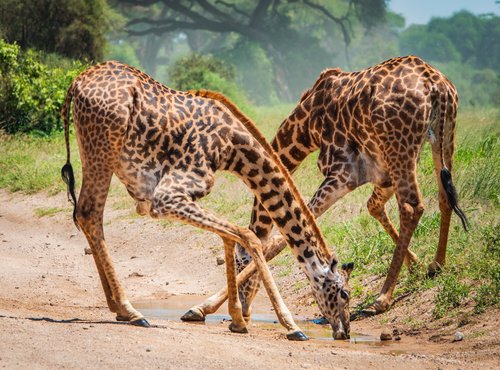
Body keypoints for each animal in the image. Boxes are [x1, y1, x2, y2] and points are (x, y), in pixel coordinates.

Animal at [60, 60, 354, 342]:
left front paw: (236, 319)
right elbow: (249, 236)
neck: (231, 147)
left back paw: (118, 308)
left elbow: (231, 236)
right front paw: (291, 326)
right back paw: (131, 311)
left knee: (89, 216)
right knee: (88, 213)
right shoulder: (167, 196)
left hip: (95, 151)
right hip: (103, 149)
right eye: (344, 294)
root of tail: (76, 83)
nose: (344, 332)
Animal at [185, 55, 468, 320]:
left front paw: (202, 307)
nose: (245, 307)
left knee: (411, 207)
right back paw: (437, 264)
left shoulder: (344, 173)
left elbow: (282, 236)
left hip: (402, 149)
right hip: (443, 138)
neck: (307, 125)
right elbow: (373, 205)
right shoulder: (381, 173)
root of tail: (434, 84)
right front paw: (416, 264)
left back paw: (382, 298)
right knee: (444, 196)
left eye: (238, 263)